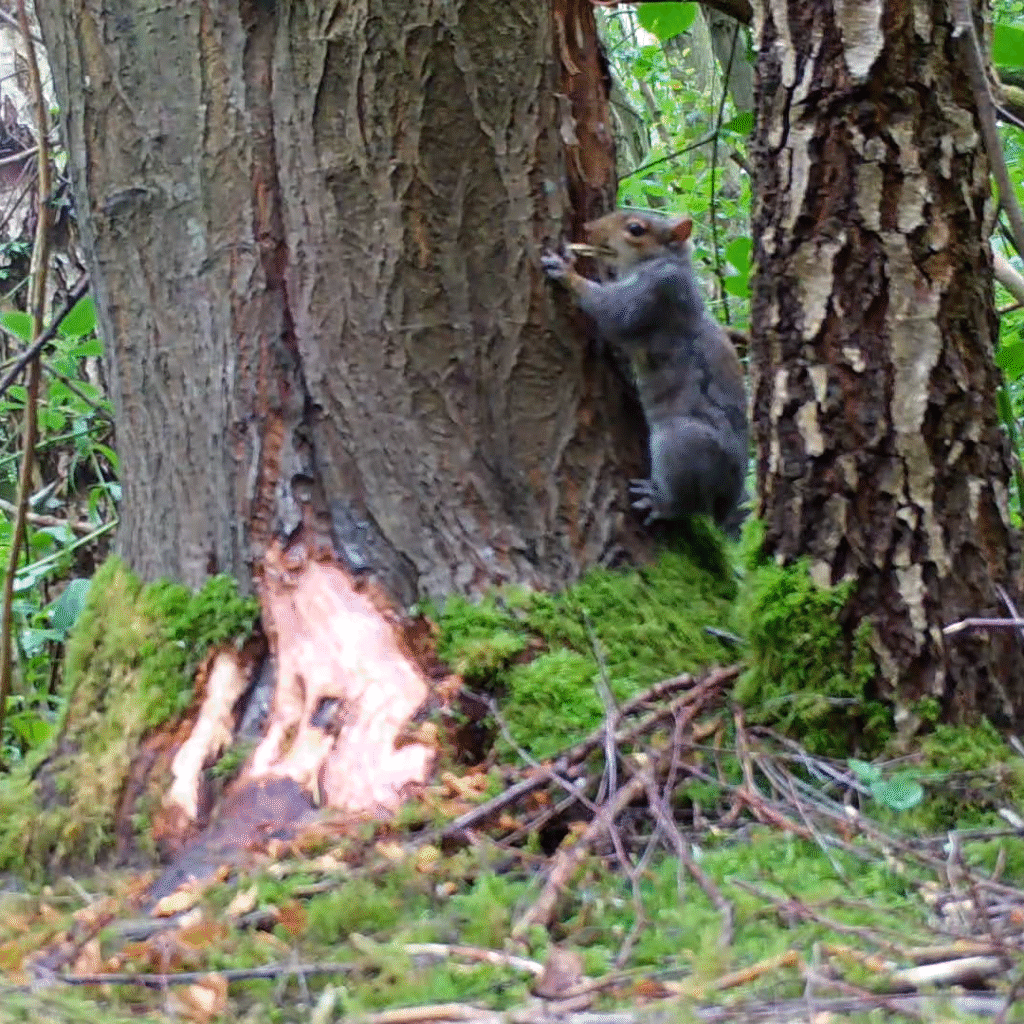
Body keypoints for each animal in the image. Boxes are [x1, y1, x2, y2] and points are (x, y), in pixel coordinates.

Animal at [542, 209, 748, 534]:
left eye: (636, 229)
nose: (587, 229)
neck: (660, 262)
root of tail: (725, 502)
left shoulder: (655, 294)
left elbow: (613, 313)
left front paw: (567, 271)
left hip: (681, 443)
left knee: (687, 503)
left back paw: (660, 502)